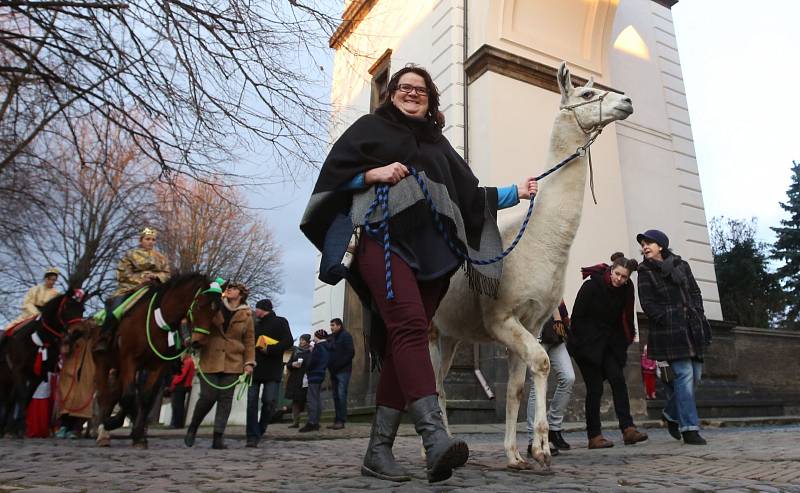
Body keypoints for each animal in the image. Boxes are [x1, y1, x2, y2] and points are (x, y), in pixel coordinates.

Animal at [0, 288, 85, 438]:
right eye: (67, 307)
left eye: (82, 309)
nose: (78, 332)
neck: (39, 341)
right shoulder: (18, 371)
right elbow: (23, 396)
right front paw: (20, 427)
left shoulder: (38, 375)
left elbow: (27, 398)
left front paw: (20, 427)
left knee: (10, 402)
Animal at [94, 270, 225, 448]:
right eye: (199, 305)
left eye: (216, 310)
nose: (199, 342)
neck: (156, 321)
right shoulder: (129, 359)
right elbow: (129, 395)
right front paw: (115, 424)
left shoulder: (158, 365)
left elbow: (145, 397)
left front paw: (138, 435)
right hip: (105, 362)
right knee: (105, 394)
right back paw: (103, 432)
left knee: (117, 393)